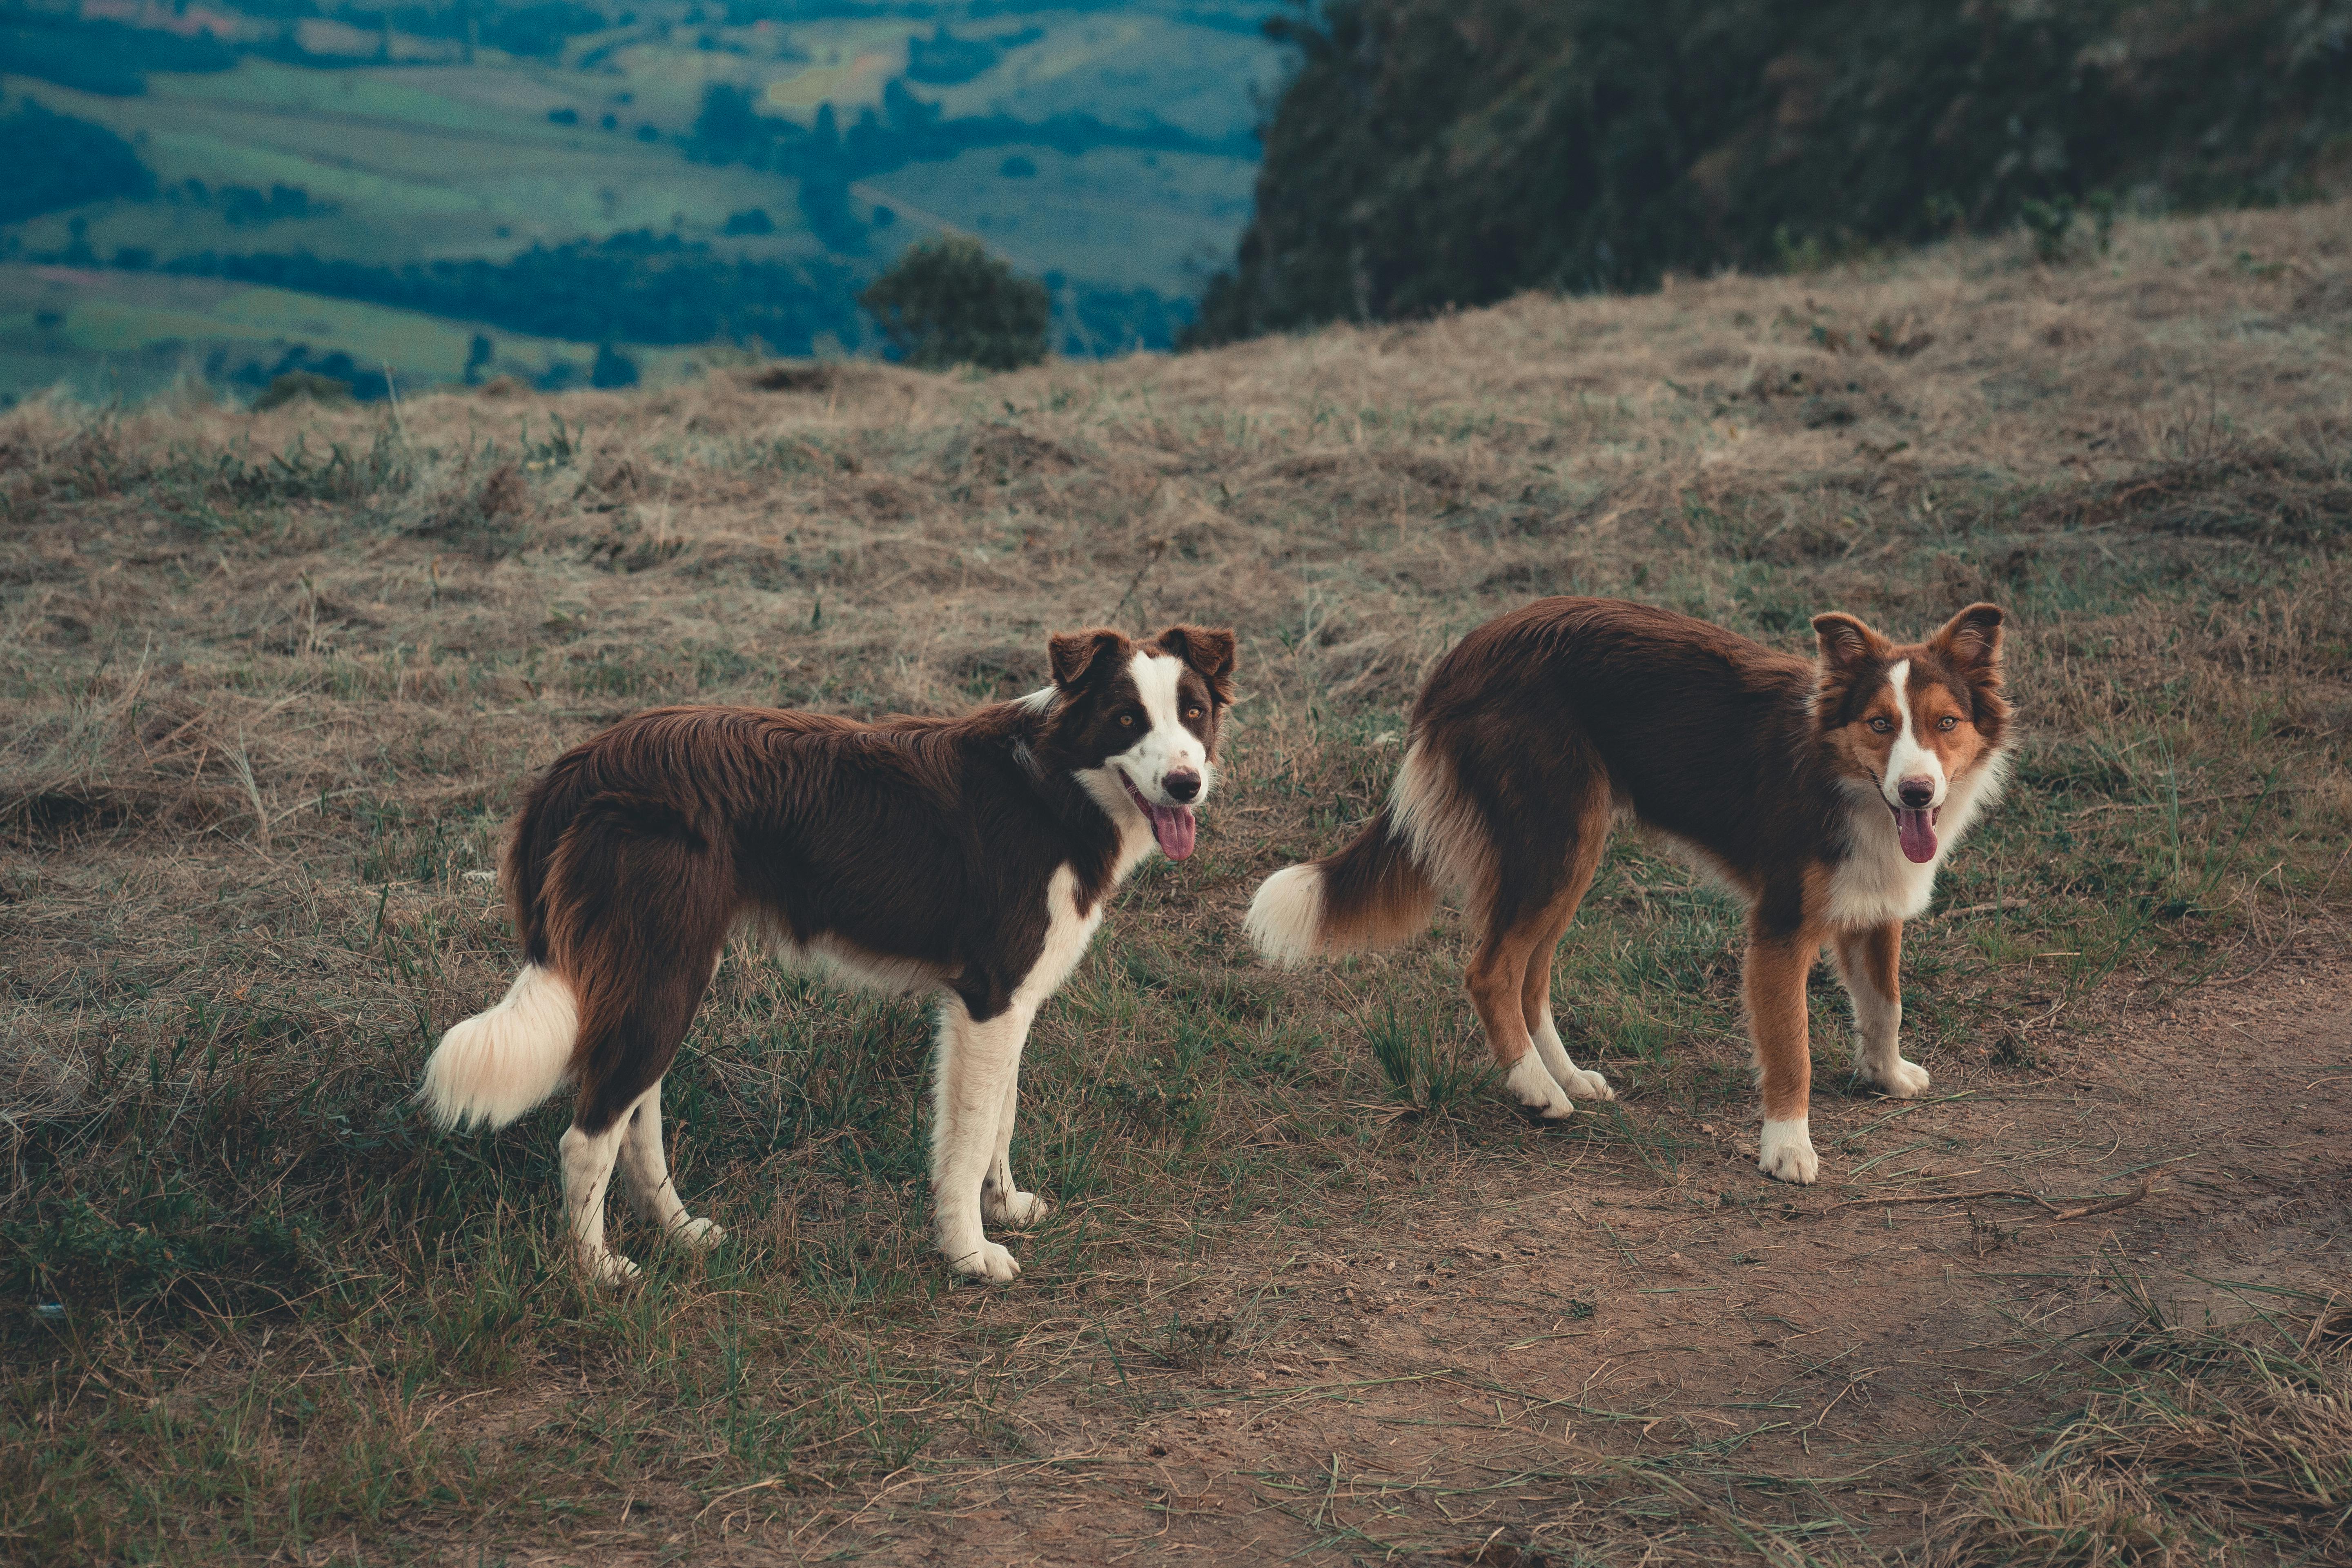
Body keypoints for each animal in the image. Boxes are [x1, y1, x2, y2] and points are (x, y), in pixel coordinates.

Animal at [421, 625, 1242, 1288]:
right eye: (1126, 718)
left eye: (1193, 715)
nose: (1185, 784)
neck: (1056, 785)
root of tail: (581, 762)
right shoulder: (988, 998)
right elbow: (972, 1132)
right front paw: (970, 1254)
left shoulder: (1013, 1000)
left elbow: (1001, 1117)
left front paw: (1005, 1206)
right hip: (662, 972)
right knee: (586, 1137)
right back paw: (597, 1270)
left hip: (662, 972)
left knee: (635, 1116)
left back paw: (680, 1233)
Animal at [1251, 597, 2004, 1175]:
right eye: (1880, 724)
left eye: (1945, 724)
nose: (1917, 791)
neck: (1842, 776)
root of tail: (1470, 649)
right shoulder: (1781, 928)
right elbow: (1792, 1048)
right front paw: (1787, 1148)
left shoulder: (1876, 905)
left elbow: (1885, 1004)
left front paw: (1887, 1075)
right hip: (1555, 841)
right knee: (1491, 971)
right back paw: (1535, 1088)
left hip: (1568, 851)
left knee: (1530, 977)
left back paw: (1566, 1077)